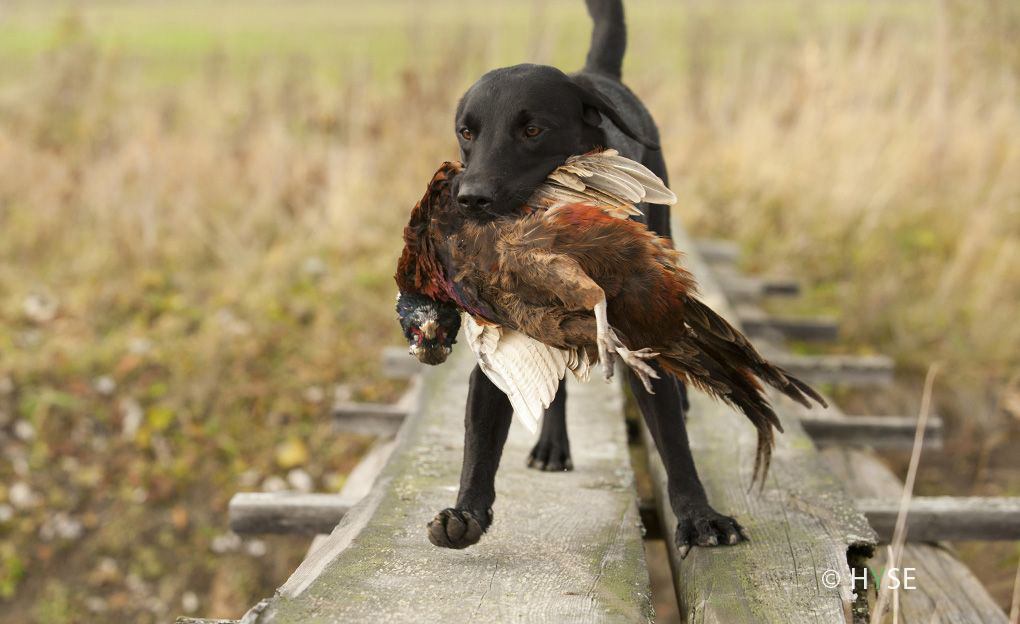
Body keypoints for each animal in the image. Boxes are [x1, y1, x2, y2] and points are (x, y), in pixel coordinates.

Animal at [427, 0, 748, 556]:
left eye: (533, 130)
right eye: (467, 132)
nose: (470, 198)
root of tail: (595, 74)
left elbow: (672, 441)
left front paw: (700, 516)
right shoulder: (497, 354)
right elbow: (480, 442)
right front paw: (466, 512)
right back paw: (551, 443)